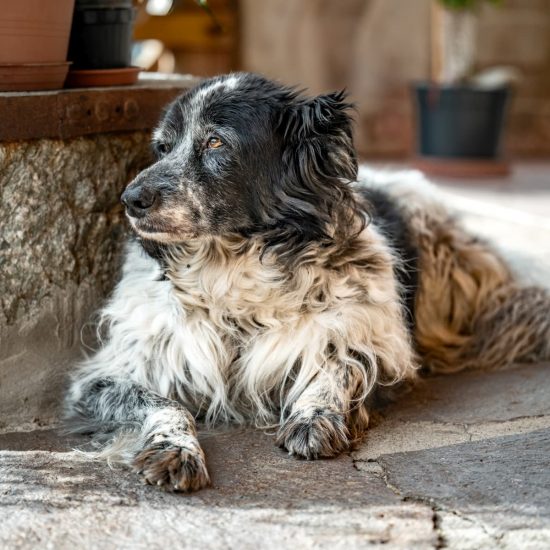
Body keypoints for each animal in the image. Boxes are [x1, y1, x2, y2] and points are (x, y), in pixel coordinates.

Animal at [66, 72, 550, 492]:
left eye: (216, 141)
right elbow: (166, 404)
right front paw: (174, 449)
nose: (131, 199)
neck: (231, 273)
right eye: (163, 148)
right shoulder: (106, 378)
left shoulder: (366, 341)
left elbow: (337, 369)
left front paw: (315, 417)